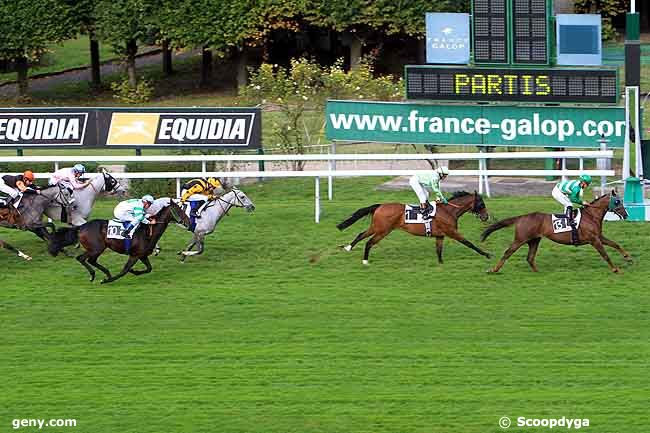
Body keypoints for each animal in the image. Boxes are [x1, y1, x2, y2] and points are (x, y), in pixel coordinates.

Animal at [336, 192, 488, 264]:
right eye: (481, 204)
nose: (486, 217)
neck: (449, 211)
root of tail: (380, 205)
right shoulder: (452, 232)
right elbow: (469, 243)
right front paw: (487, 254)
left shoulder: (440, 235)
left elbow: (439, 250)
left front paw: (441, 263)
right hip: (383, 230)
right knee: (369, 242)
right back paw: (365, 261)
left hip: (377, 227)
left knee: (361, 234)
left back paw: (348, 247)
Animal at [480, 190, 628, 272]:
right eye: (617, 202)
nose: (626, 215)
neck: (591, 215)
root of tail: (522, 217)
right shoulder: (594, 240)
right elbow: (605, 255)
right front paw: (615, 269)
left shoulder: (599, 237)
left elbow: (615, 244)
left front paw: (628, 257)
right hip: (520, 239)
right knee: (508, 253)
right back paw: (494, 269)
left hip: (534, 240)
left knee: (530, 257)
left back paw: (537, 272)